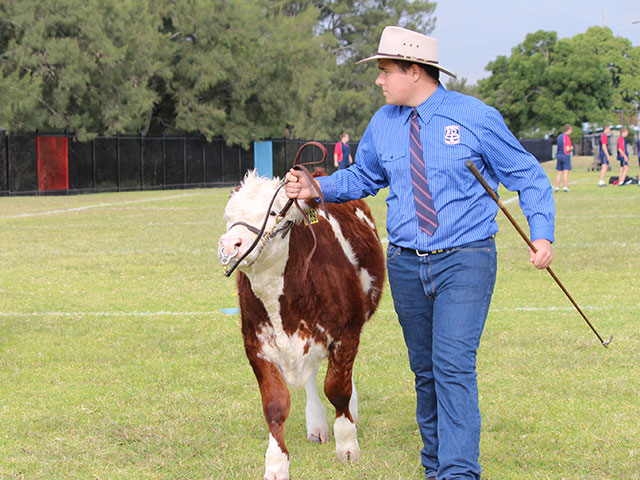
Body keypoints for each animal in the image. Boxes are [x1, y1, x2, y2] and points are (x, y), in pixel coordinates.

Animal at [218, 172, 384, 480]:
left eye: (273, 212)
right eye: (229, 216)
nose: (229, 244)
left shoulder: (346, 335)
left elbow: (338, 389)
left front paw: (347, 446)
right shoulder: (257, 346)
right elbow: (274, 406)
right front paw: (276, 465)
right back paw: (316, 424)